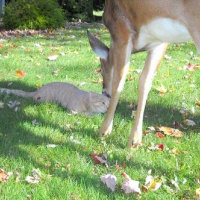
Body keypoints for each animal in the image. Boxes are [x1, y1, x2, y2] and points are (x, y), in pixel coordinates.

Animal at [87, 0, 200, 148]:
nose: (104, 91)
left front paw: (104, 130)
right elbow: (145, 82)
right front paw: (135, 140)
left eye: (100, 70)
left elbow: (119, 82)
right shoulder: (160, 42)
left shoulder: (121, 30)